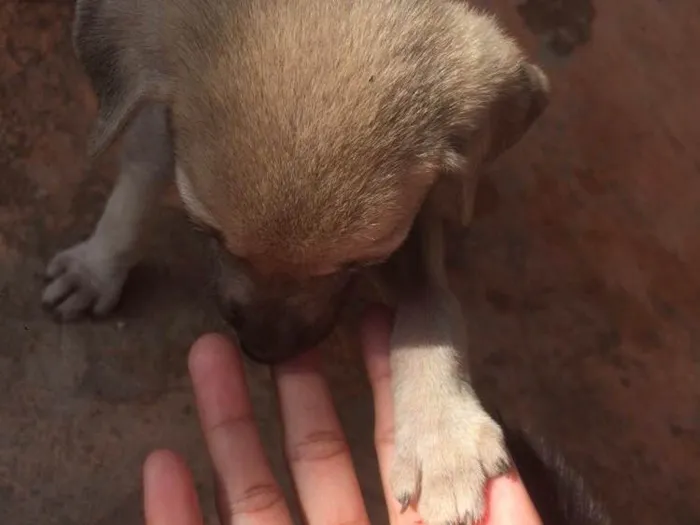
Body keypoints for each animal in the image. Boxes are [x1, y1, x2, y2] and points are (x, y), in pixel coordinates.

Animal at [43, 2, 552, 520]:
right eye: (205, 230)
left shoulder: (417, 218)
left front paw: (442, 437)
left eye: (362, 261)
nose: (263, 350)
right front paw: (97, 265)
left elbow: (431, 309)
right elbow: (141, 174)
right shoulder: (159, 116)